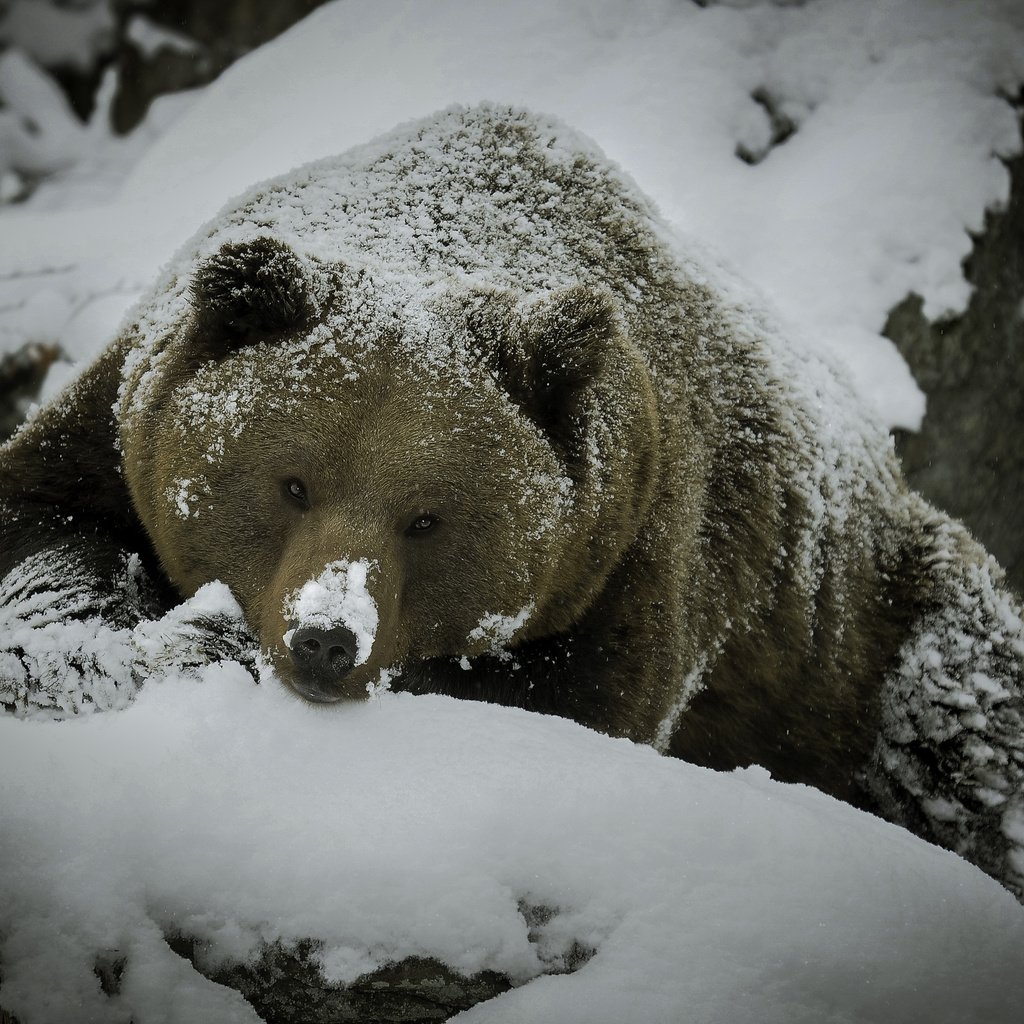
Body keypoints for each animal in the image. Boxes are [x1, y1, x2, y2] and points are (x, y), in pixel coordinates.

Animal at [2, 105, 1024, 897]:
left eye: (426, 517)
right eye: (292, 482)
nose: (326, 640)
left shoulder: (632, 550)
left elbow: (561, 700)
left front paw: (202, 641)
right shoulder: (116, 419)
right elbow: (45, 528)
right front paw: (101, 645)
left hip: (869, 624)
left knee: (962, 718)